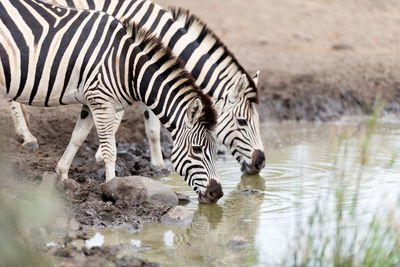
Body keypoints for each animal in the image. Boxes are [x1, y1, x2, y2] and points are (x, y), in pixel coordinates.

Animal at [0, 0, 223, 203]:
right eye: (197, 149)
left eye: (216, 149)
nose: (217, 193)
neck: (128, 67)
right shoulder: (102, 102)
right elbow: (110, 151)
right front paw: (112, 188)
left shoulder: (90, 101)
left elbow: (77, 137)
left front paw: (62, 176)